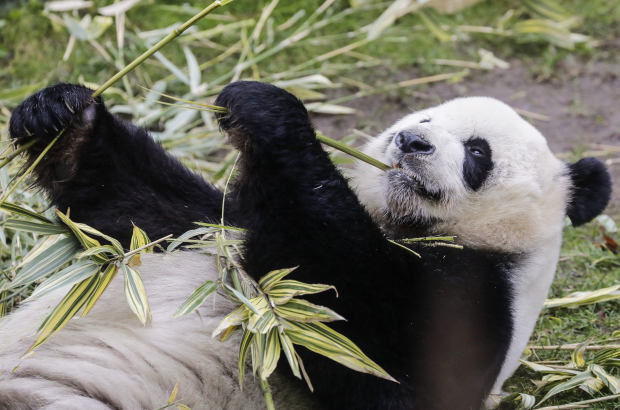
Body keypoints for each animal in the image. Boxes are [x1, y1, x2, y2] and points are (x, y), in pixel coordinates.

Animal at [0, 81, 612, 410]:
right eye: (423, 117)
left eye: (477, 151)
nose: (411, 142)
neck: (406, 229)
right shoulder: (218, 226)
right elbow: (134, 213)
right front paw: (62, 116)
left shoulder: (478, 300)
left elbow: (372, 359)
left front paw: (269, 111)